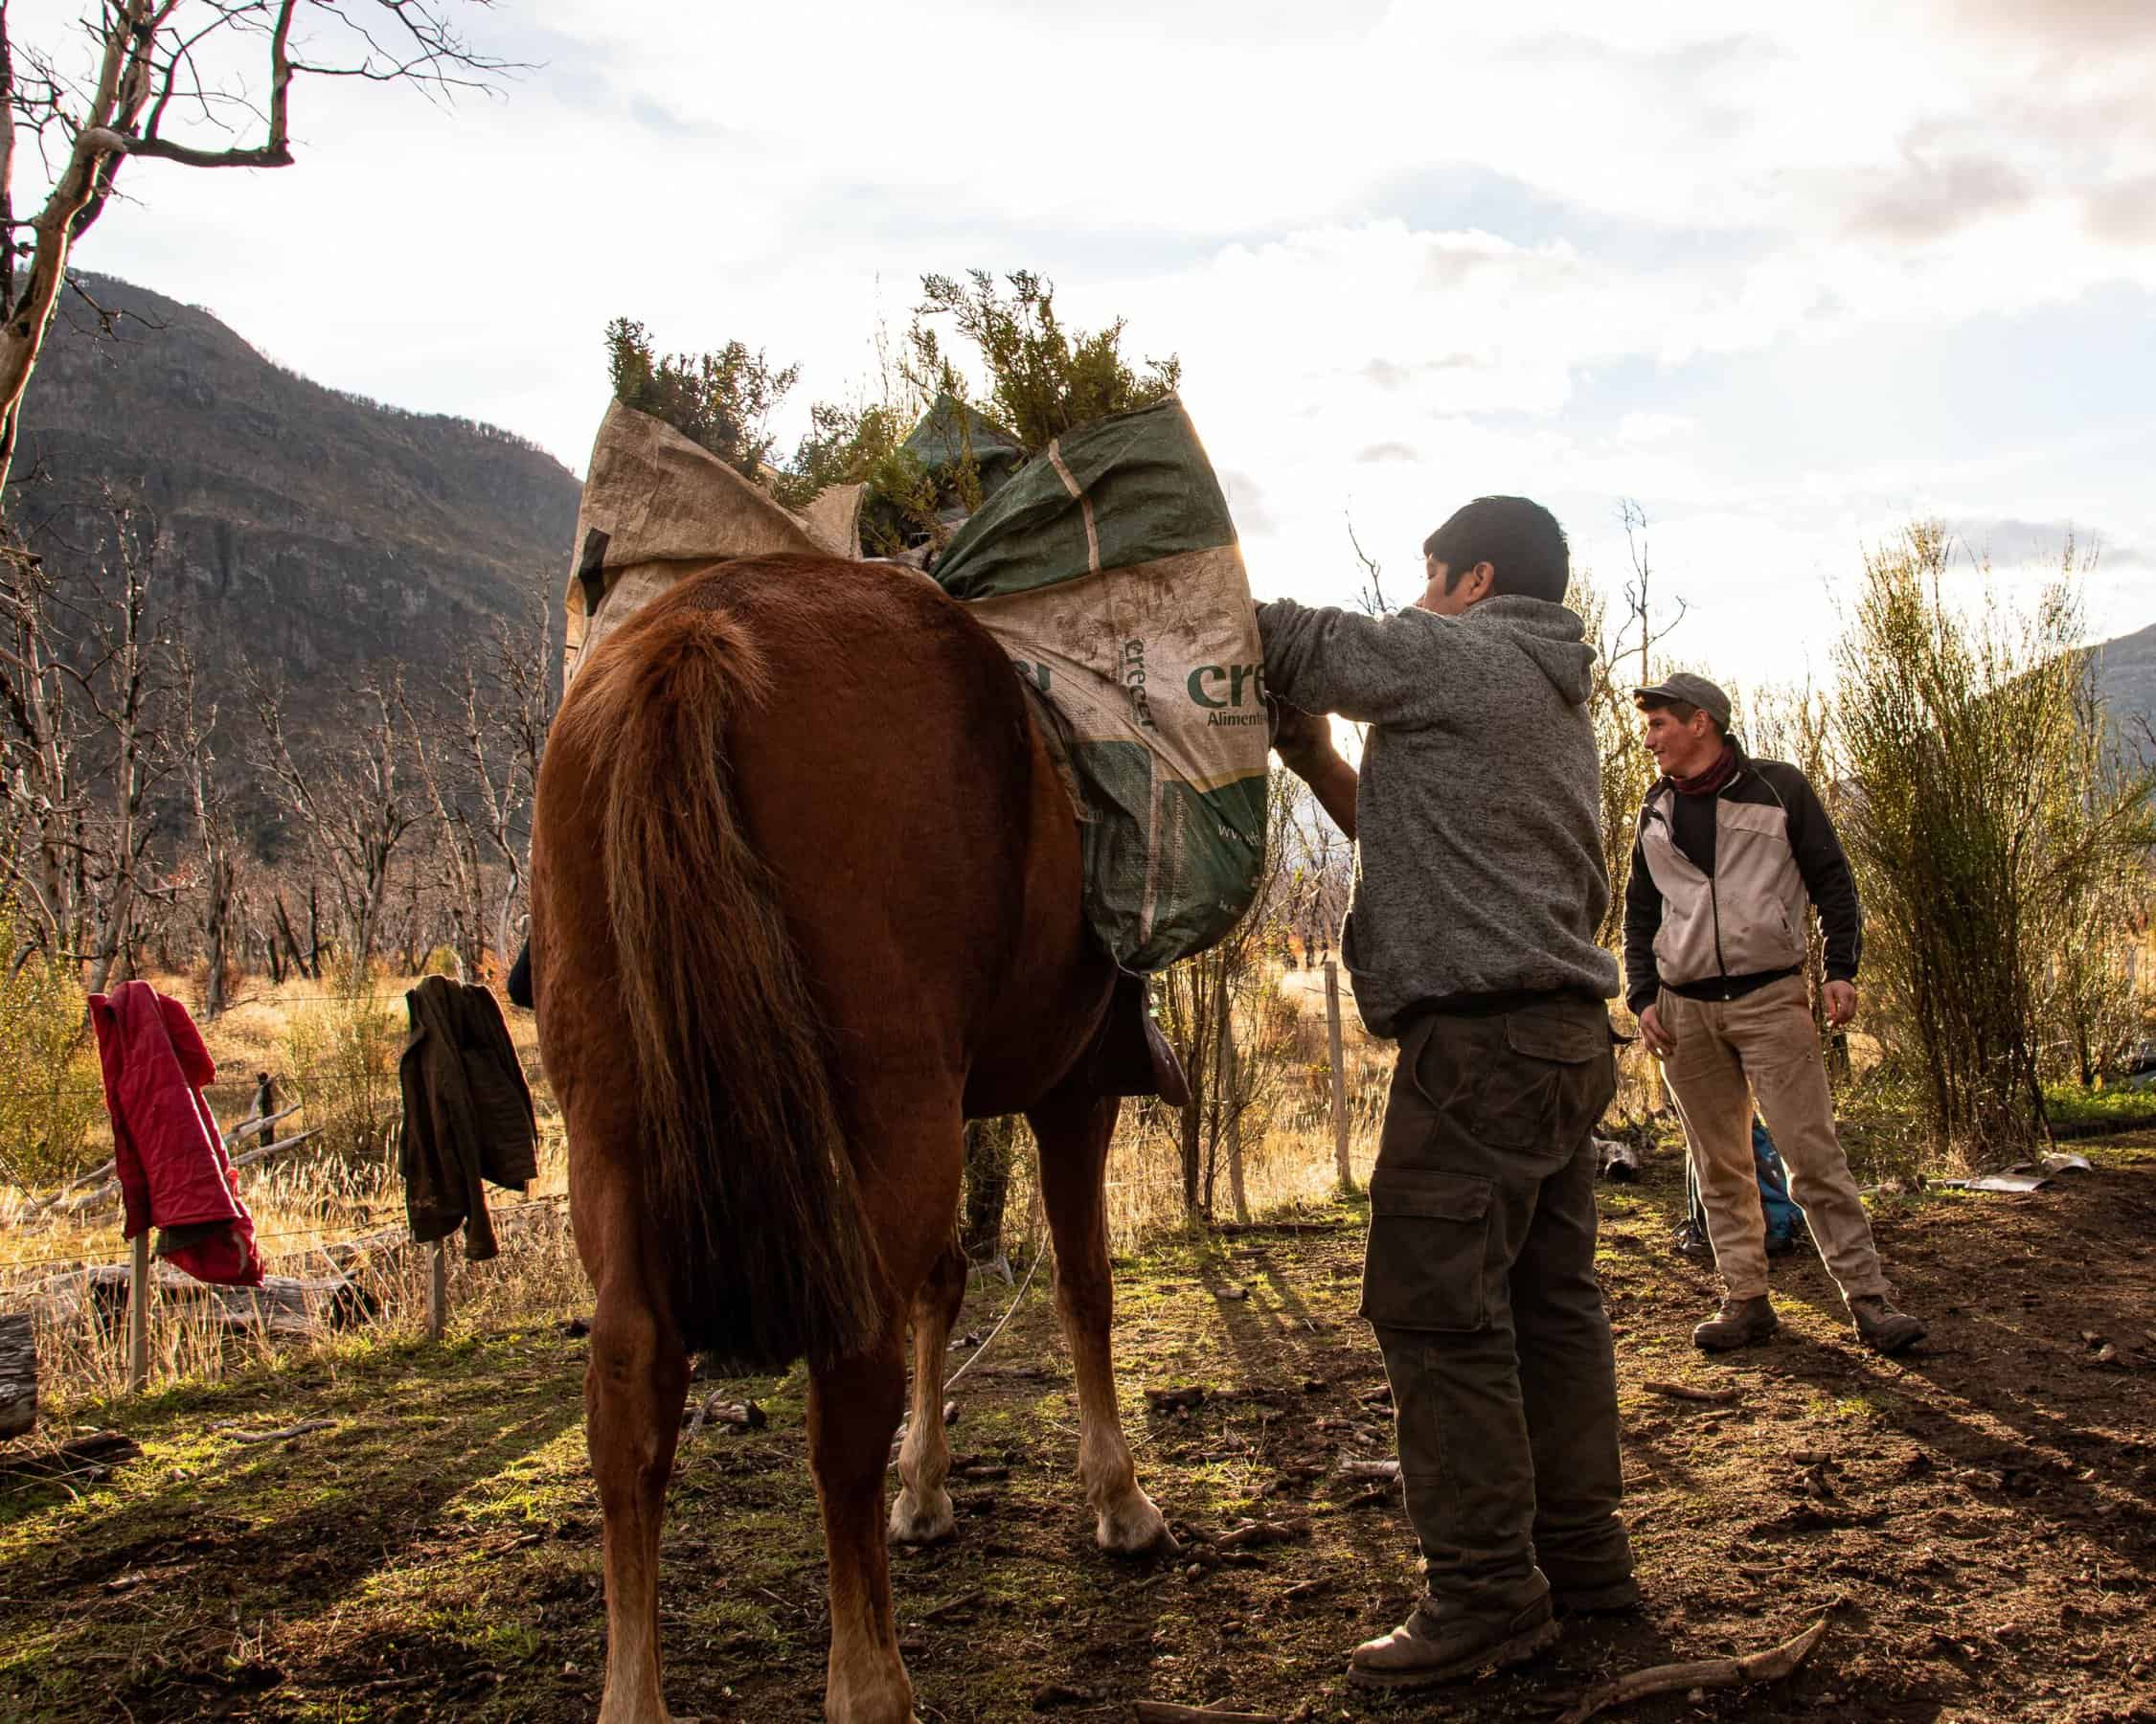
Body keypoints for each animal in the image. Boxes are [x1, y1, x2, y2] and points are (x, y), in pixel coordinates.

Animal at [534, 552, 1181, 1724]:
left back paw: (635, 1695)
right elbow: (1084, 1287)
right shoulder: (1070, 1097)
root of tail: (700, 629)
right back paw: (871, 1681)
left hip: (612, 1128)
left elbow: (944, 1284)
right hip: (889, 1115)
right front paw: (1118, 1503)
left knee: (629, 1388)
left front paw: (924, 1494)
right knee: (844, 1393)